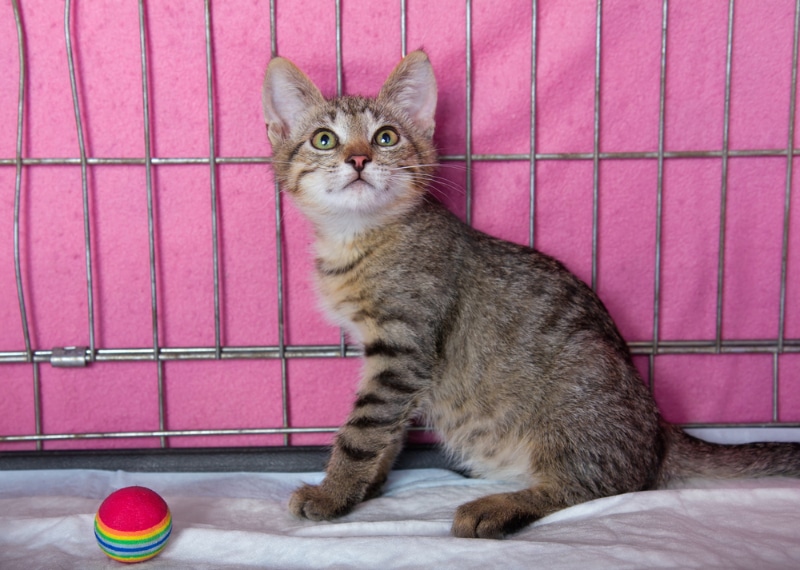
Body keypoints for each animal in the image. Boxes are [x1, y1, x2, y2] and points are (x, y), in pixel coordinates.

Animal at [260, 50, 800, 536]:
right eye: (323, 140)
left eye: (386, 137)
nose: (358, 158)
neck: (360, 237)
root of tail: (660, 427)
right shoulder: (394, 359)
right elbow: (388, 431)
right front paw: (363, 487)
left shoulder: (403, 347)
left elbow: (363, 430)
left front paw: (332, 492)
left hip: (575, 396)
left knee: (604, 484)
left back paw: (496, 508)